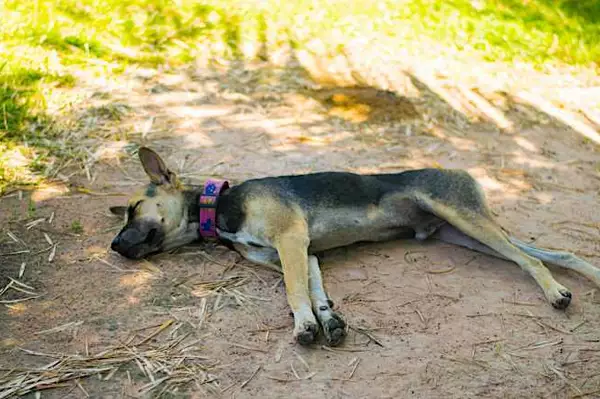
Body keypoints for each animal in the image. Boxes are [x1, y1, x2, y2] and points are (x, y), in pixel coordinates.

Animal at [109, 148, 600, 348]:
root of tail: (460, 171)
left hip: (467, 218)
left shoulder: (290, 240)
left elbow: (295, 293)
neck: (221, 207)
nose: (114, 247)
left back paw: (556, 293)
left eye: (134, 209)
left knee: (530, 260)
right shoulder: (303, 252)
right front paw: (326, 321)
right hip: (466, 232)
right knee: (556, 254)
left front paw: (305, 326)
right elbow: (315, 291)